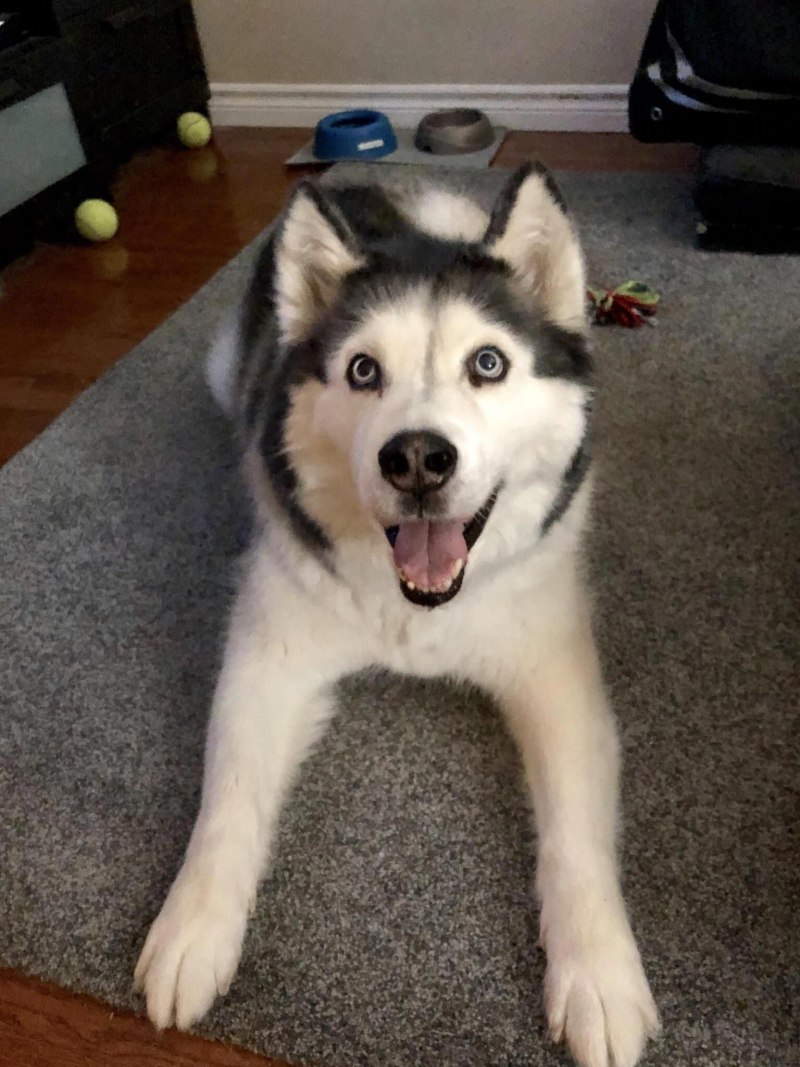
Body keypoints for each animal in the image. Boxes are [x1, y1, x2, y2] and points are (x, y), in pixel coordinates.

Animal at [134, 163, 660, 1067]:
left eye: (488, 363)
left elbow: (576, 833)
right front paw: (192, 928)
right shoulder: (268, 658)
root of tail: (367, 171)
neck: (419, 613)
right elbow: (227, 796)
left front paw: (596, 972)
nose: (416, 457)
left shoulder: (559, 677)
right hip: (230, 371)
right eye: (362, 371)